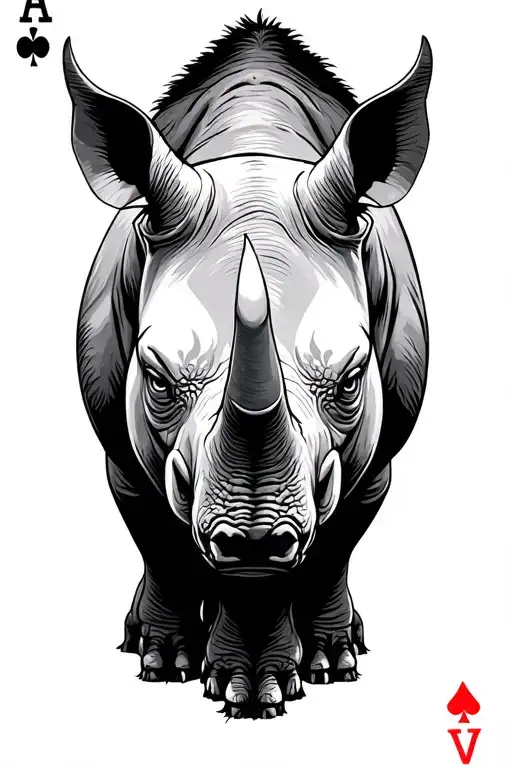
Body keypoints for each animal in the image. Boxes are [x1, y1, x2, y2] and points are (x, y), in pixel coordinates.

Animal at [65, 13, 431, 719]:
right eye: (157, 380)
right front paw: (171, 666)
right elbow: (158, 537)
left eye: (351, 382)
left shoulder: (376, 451)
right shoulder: (121, 445)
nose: (253, 537)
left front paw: (315, 670)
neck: (255, 153)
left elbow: (332, 545)